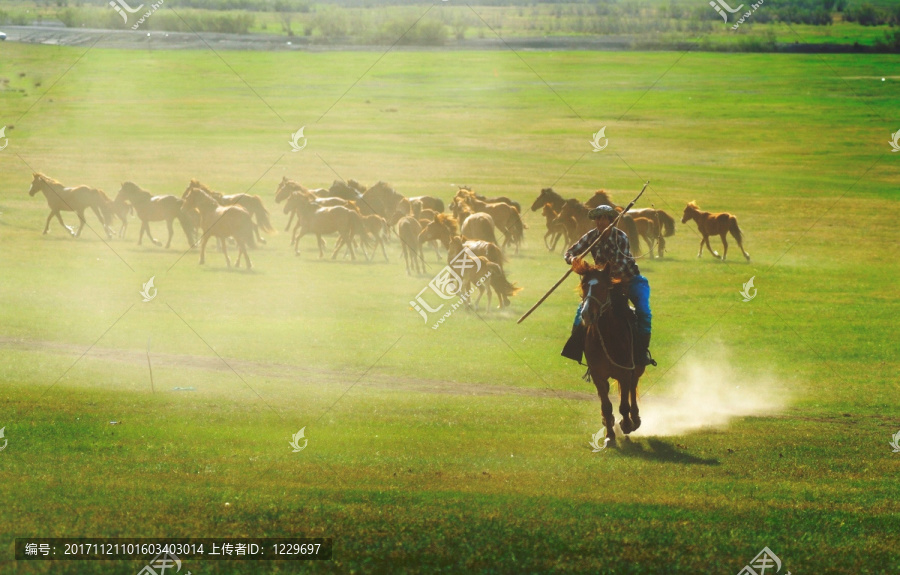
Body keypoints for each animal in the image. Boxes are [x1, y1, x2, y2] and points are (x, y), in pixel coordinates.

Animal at [572, 258, 644, 448]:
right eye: (584, 285)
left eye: (604, 287)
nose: (587, 314)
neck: (608, 335)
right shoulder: (598, 375)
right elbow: (606, 405)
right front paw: (610, 435)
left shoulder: (625, 372)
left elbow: (624, 405)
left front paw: (626, 424)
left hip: (637, 368)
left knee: (633, 388)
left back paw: (634, 419)